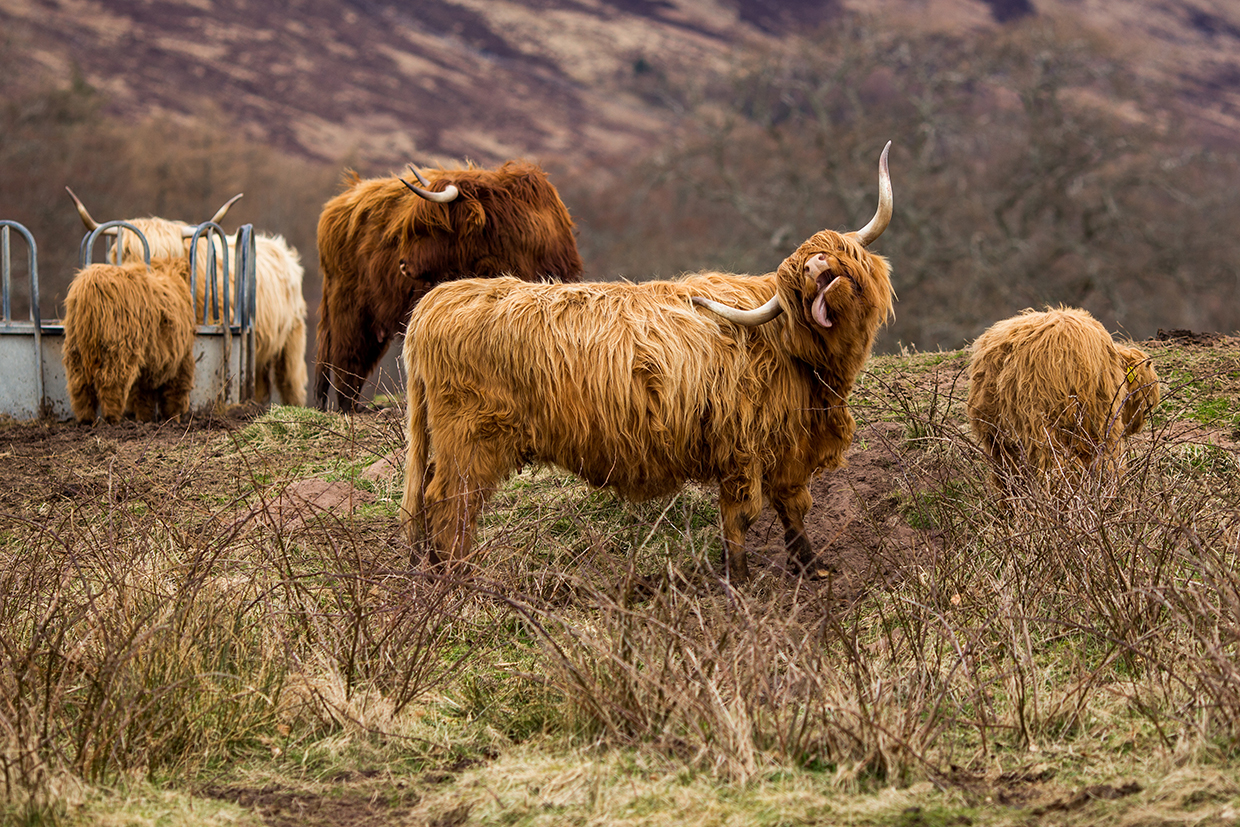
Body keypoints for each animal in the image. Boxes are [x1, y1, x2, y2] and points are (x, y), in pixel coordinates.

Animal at [62, 256, 197, 426]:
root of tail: (91, 283)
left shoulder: (149, 362)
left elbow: (142, 395)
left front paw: (144, 419)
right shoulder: (180, 358)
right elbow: (174, 393)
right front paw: (173, 418)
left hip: (75, 348)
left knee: (79, 385)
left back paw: (86, 420)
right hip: (120, 348)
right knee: (111, 382)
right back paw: (113, 419)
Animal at [310, 157, 580, 411]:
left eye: (432, 227)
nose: (403, 265)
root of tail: (341, 201)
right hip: (351, 307)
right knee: (347, 356)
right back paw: (350, 407)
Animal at [401, 143, 897, 582]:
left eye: (833, 251)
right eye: (796, 286)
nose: (814, 268)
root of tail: (436, 300)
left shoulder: (788, 447)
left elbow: (792, 508)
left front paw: (812, 569)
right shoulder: (742, 447)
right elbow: (741, 517)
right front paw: (739, 581)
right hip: (469, 439)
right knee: (449, 503)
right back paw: (459, 581)